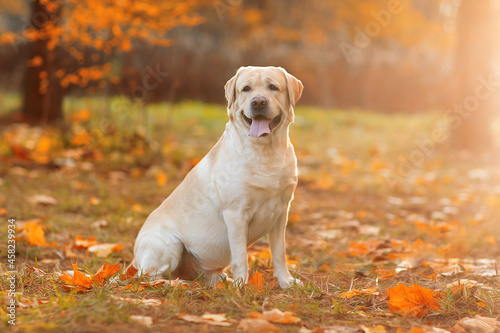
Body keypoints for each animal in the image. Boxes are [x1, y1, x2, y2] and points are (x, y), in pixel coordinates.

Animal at [131, 65, 302, 288]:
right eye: (246, 89)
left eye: (273, 87)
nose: (258, 102)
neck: (266, 153)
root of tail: (134, 259)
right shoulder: (235, 214)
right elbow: (240, 256)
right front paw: (241, 286)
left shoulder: (281, 212)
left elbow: (280, 252)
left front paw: (286, 281)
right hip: (169, 245)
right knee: (148, 278)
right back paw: (181, 284)